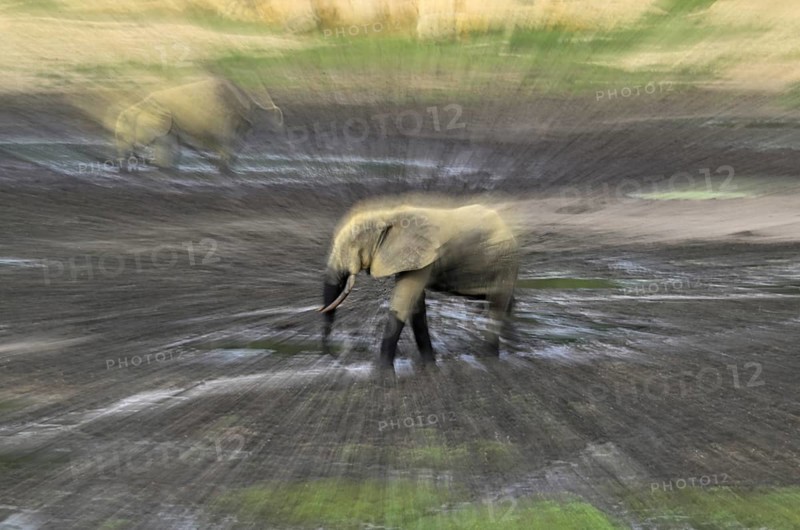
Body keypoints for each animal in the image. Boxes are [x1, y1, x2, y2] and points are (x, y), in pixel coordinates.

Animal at [319, 202, 519, 370]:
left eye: (352, 246)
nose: (334, 355)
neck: (388, 215)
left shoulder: (422, 258)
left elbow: (402, 304)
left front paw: (382, 369)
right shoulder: (408, 260)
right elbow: (415, 309)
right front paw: (429, 363)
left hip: (504, 260)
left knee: (497, 305)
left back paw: (489, 356)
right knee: (503, 302)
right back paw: (512, 349)